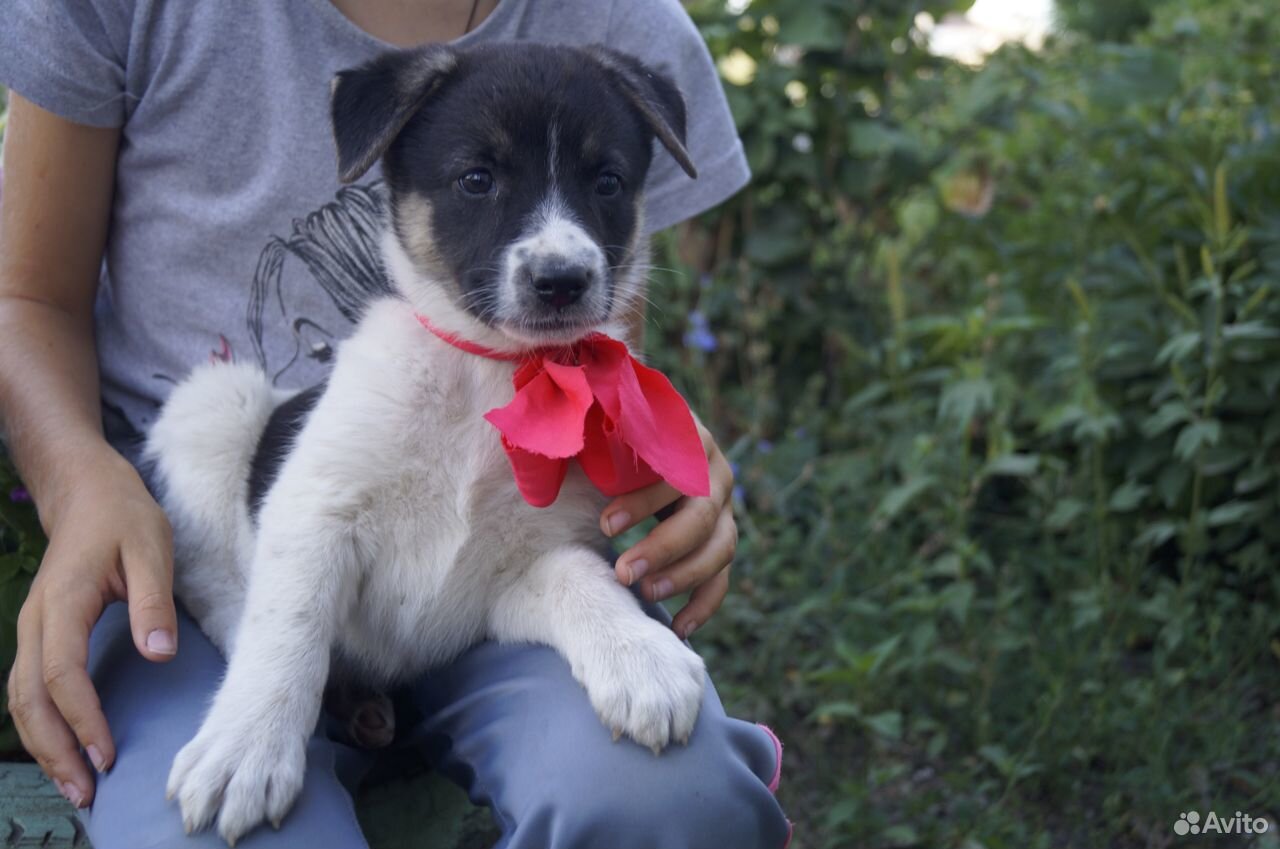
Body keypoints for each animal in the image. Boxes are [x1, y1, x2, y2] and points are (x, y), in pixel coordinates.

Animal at [152, 43, 711, 845]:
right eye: (476, 179)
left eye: (607, 181)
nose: (563, 280)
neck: (491, 378)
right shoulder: (314, 508)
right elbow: (285, 629)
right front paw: (246, 749)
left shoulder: (514, 571)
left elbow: (585, 580)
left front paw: (640, 658)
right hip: (213, 406)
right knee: (214, 584)